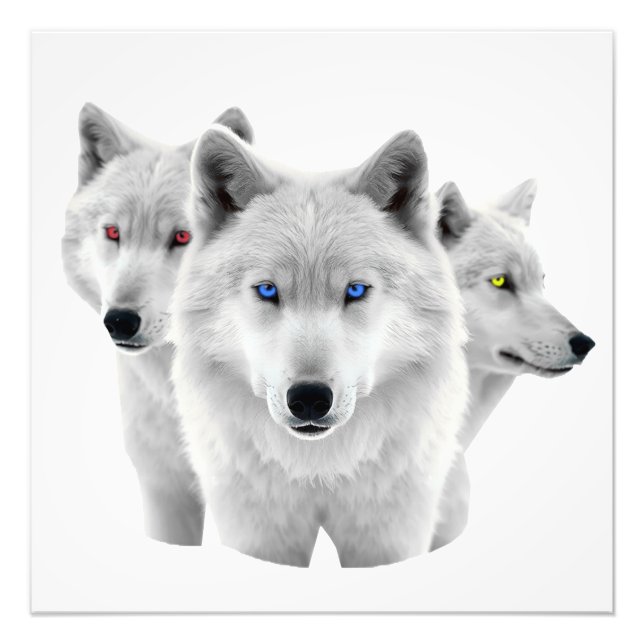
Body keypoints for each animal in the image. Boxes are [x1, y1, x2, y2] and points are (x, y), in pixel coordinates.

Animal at [170, 125, 469, 567]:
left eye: (356, 290)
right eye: (267, 290)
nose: (309, 398)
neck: (319, 468)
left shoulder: (390, 534)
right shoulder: (257, 532)